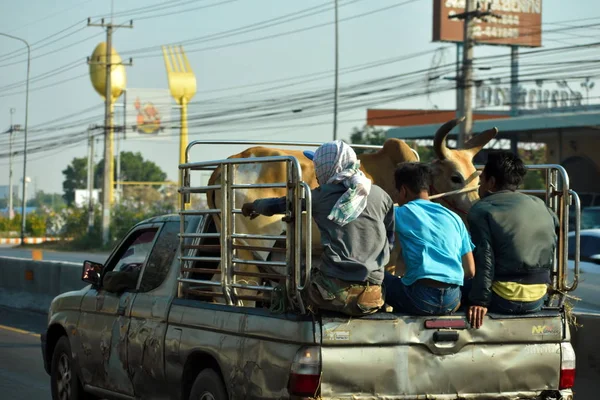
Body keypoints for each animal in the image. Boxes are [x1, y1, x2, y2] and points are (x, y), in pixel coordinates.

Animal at [204, 119, 500, 306]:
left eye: (476, 177)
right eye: (455, 177)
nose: (475, 207)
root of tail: (226, 164)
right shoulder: (390, 259)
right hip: (251, 248)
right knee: (241, 288)